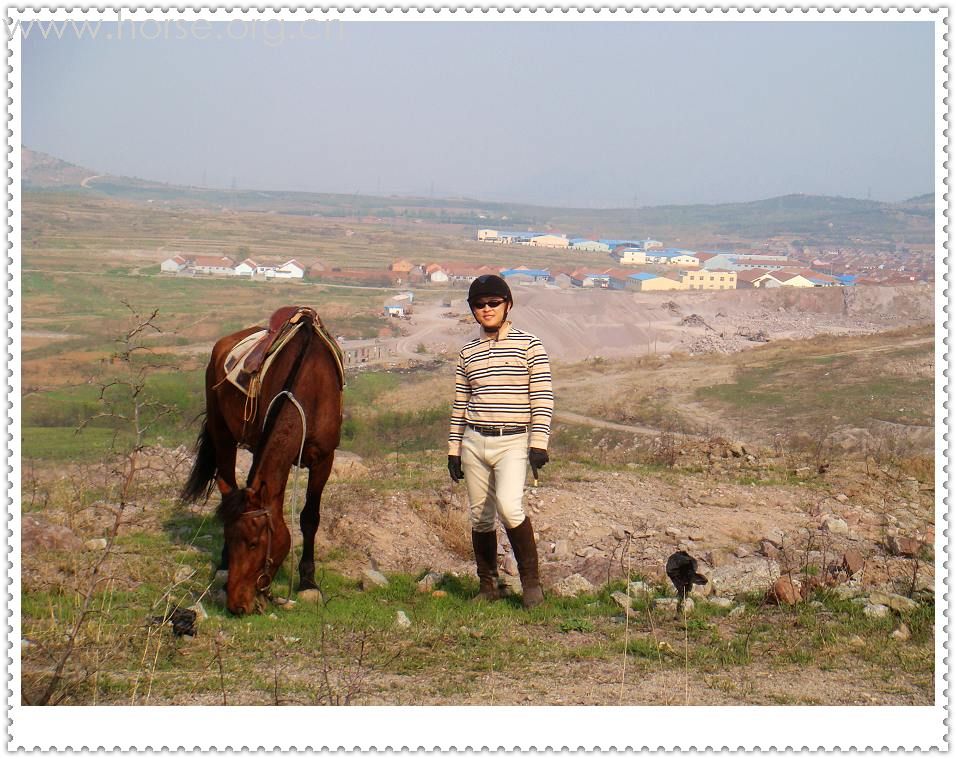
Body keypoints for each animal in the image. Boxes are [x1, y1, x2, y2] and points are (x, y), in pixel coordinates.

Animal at [180, 306, 344, 616]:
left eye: (255, 544)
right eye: (231, 538)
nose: (236, 605)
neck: (311, 383)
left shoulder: (324, 459)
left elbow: (310, 518)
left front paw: (308, 581)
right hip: (222, 433)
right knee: (227, 487)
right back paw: (221, 566)